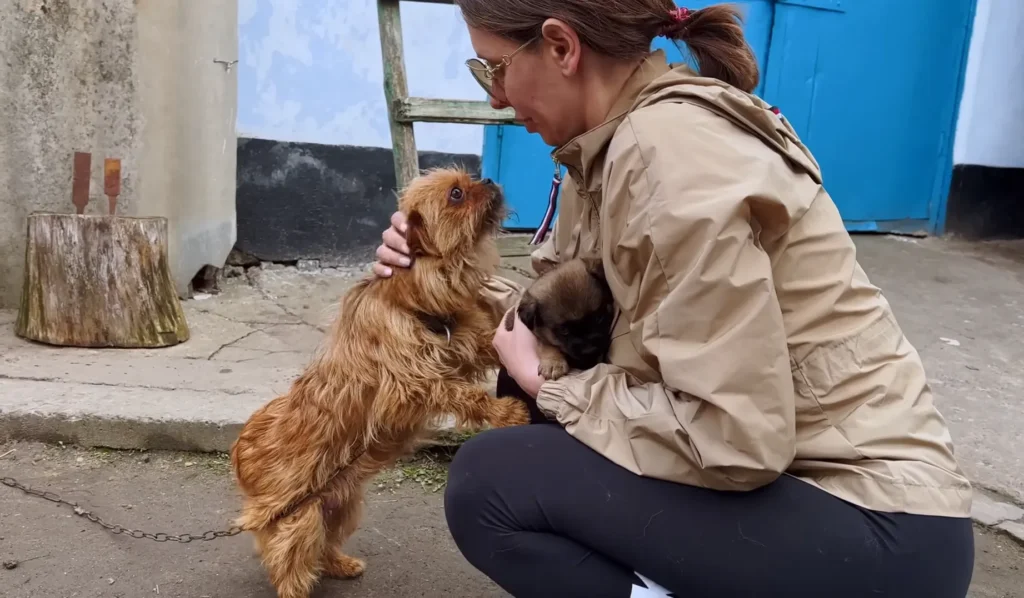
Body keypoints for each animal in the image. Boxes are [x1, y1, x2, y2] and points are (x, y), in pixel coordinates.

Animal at [229, 166, 532, 598]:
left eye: (469, 180)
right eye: (456, 194)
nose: (488, 179)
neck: (412, 298)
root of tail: (241, 449)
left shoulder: (460, 345)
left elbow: (486, 345)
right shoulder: (415, 384)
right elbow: (464, 395)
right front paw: (506, 411)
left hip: (340, 503)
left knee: (323, 544)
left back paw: (339, 563)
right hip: (298, 516)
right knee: (289, 560)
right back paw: (297, 588)